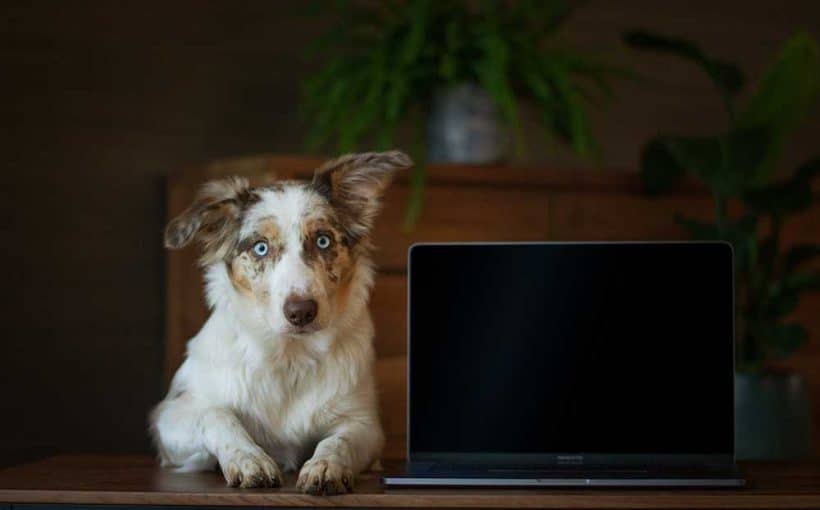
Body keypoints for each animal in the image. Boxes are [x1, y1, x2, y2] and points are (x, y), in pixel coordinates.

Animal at [149, 149, 410, 492]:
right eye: (261, 247)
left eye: (323, 241)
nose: (301, 312)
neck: (289, 357)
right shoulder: (171, 414)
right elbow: (217, 415)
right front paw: (250, 459)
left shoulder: (364, 424)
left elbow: (338, 442)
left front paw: (325, 466)